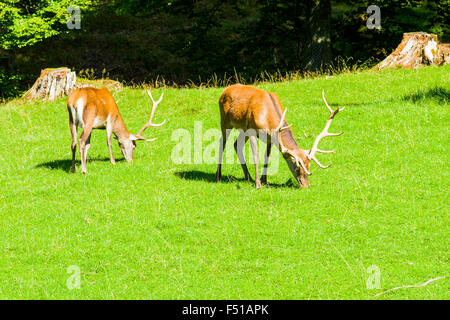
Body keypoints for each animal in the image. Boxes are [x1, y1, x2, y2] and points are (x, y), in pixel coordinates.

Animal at [215, 84, 344, 188]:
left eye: (309, 166)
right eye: (297, 168)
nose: (306, 186)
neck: (267, 118)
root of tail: (224, 90)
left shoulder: (270, 137)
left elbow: (267, 157)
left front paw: (264, 180)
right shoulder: (252, 130)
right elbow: (256, 156)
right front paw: (258, 184)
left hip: (242, 129)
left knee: (236, 144)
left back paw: (248, 177)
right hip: (225, 121)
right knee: (222, 143)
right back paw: (218, 176)